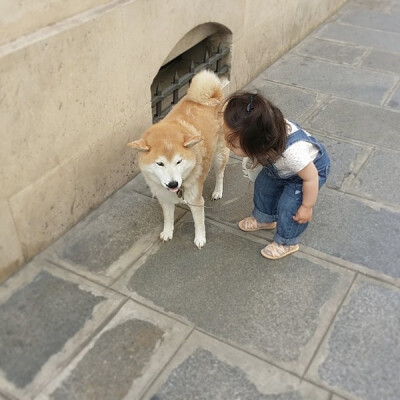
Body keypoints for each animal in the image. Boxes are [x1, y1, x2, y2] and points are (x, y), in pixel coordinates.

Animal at [126, 70, 230, 248]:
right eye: (160, 163)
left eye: (179, 161)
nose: (173, 184)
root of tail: (212, 99)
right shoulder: (165, 199)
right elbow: (168, 218)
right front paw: (167, 232)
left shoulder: (196, 199)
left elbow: (199, 222)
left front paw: (200, 239)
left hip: (219, 154)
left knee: (220, 174)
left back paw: (218, 191)